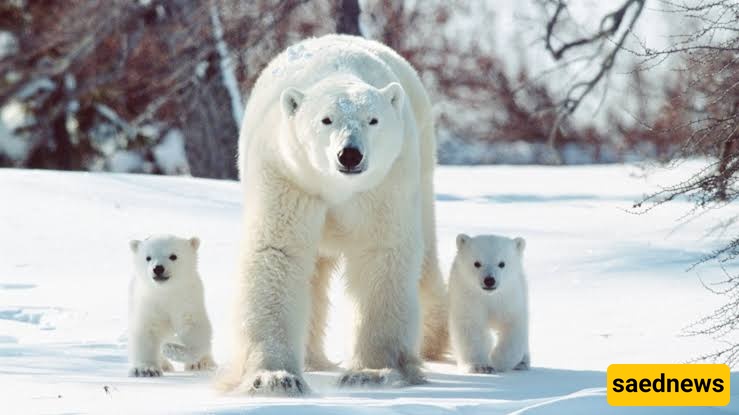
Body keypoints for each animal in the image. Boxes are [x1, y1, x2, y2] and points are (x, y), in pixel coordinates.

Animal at [128, 235, 216, 377]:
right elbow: (146, 331)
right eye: (148, 257)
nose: (158, 268)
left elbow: (195, 331)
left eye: (173, 256)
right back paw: (165, 365)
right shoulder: (148, 303)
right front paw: (146, 369)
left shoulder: (187, 302)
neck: (167, 292)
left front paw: (173, 350)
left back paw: (203, 363)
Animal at [219, 34, 448, 396]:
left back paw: (431, 343)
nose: (350, 154)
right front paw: (274, 378)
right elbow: (278, 252)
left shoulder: (385, 182)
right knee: (313, 274)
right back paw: (312, 358)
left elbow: (382, 252)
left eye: (373, 120)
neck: (335, 187)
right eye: (326, 120)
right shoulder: (287, 174)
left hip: (421, 164)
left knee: (425, 258)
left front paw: (372, 372)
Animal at [448, 233, 530, 373]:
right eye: (477, 263)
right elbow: (471, 327)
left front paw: (497, 360)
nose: (489, 280)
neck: (489, 297)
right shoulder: (467, 297)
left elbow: (513, 328)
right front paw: (480, 366)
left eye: (502, 263)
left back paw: (523, 362)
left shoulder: (509, 299)